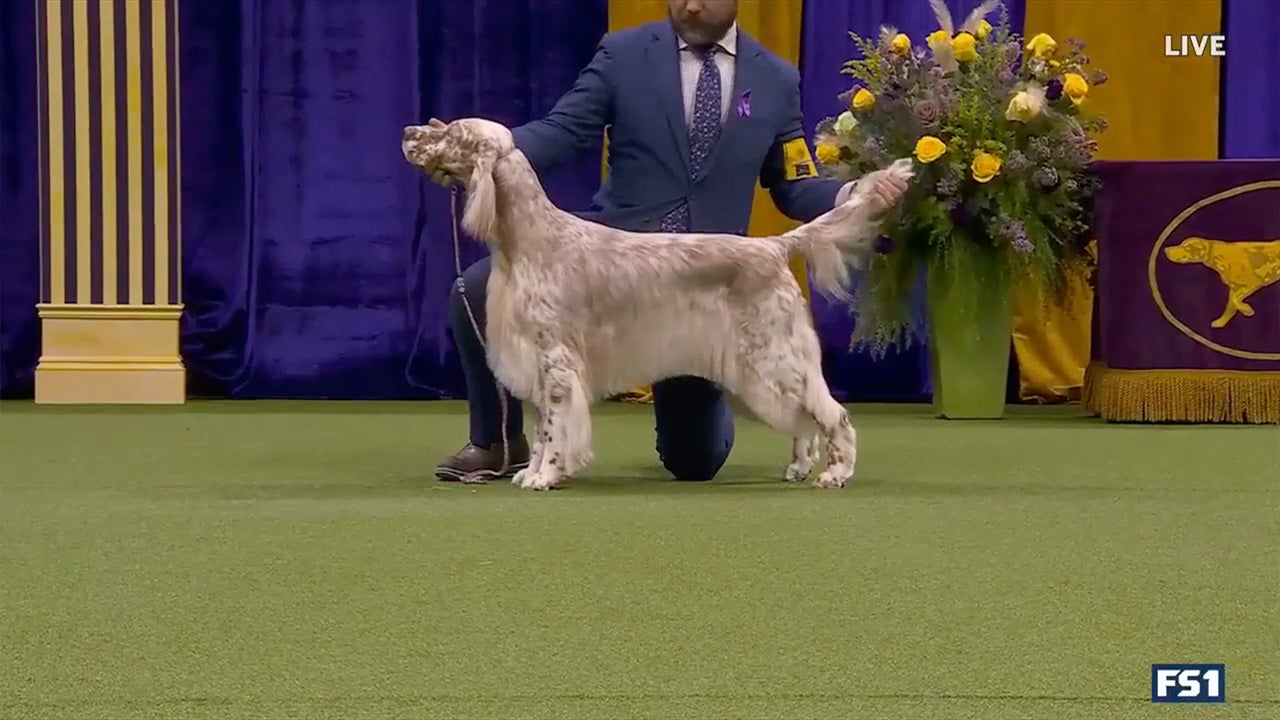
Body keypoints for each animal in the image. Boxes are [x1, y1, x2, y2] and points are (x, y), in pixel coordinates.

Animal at [399, 117, 911, 489]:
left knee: (832, 415)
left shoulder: (557, 363)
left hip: (777, 355)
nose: (407, 132)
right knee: (802, 419)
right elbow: (544, 426)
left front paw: (545, 475)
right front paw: (532, 470)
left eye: (451, 132)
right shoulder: (540, 364)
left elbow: (555, 427)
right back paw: (800, 467)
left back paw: (836, 473)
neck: (527, 239)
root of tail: (774, 247)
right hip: (758, 369)